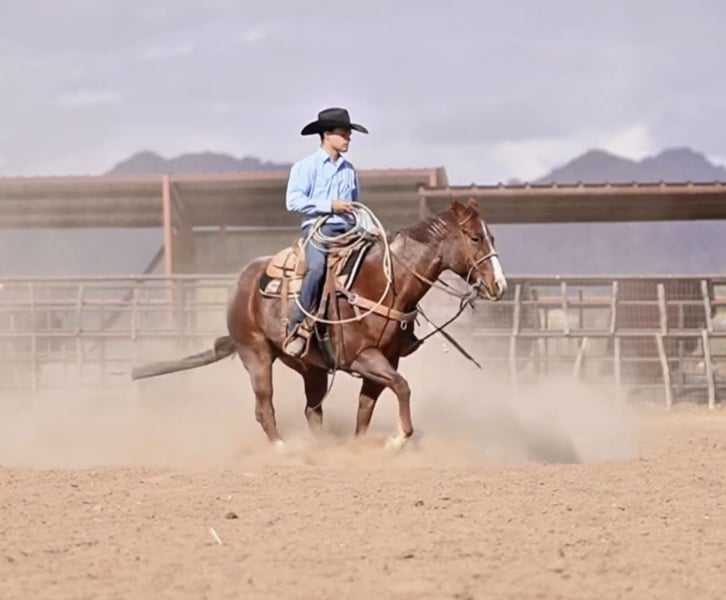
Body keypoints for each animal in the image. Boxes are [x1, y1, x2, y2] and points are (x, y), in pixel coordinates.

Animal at [131, 198, 507, 451]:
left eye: (492, 237)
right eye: (475, 238)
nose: (499, 286)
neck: (383, 284)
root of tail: (241, 281)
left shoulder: (386, 360)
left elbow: (366, 409)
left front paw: (362, 446)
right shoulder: (363, 357)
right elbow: (402, 388)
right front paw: (398, 439)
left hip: (309, 366)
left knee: (312, 410)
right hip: (256, 353)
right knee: (264, 405)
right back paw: (283, 449)